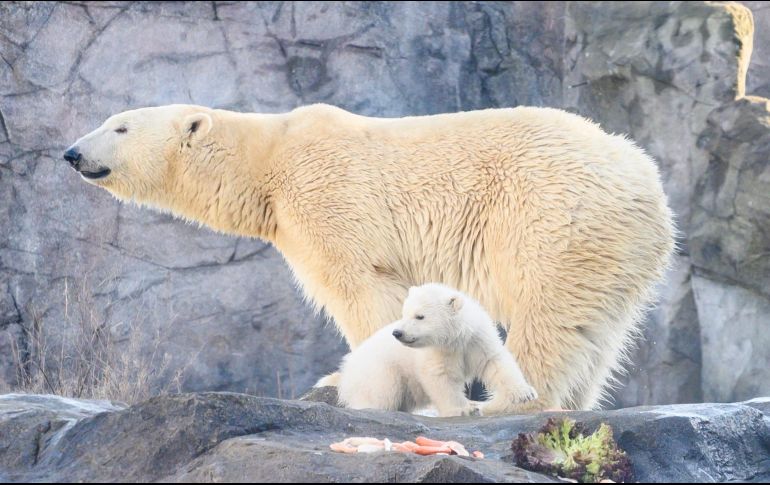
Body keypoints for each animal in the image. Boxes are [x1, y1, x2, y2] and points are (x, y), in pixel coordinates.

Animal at [337, 283, 537, 417]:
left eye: (419, 316)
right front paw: (463, 408)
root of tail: (346, 371)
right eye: (404, 314)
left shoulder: (477, 340)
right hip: (379, 371)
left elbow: (495, 363)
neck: (455, 339)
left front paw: (525, 393)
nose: (398, 332)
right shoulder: (437, 353)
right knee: (382, 393)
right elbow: (440, 378)